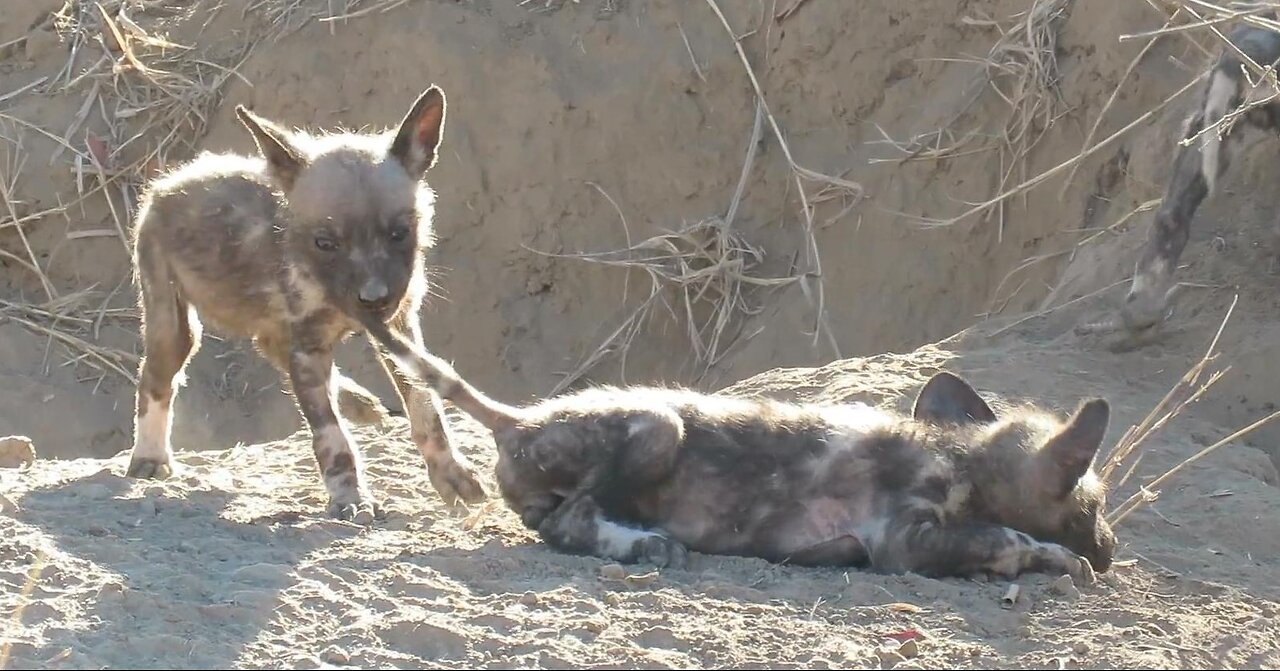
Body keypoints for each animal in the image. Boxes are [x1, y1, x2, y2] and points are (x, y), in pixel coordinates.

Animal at [124, 85, 483, 525]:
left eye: (400, 233)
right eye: (325, 243)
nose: (373, 298)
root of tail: (166, 184)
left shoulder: (397, 326)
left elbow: (427, 408)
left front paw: (450, 473)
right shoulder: (311, 348)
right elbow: (332, 436)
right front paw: (350, 495)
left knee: (270, 347)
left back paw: (357, 401)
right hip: (174, 328)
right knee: (156, 379)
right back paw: (150, 457)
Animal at [358, 315, 1111, 581]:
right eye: (1096, 508)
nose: (1110, 549)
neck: (965, 460)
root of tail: (517, 419)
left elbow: (1012, 538)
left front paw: (1057, 560)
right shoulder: (904, 538)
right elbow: (1005, 537)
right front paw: (1050, 555)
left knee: (557, 518)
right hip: (660, 425)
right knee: (573, 520)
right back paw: (647, 545)